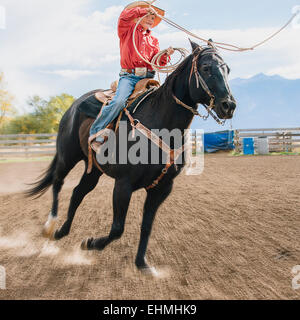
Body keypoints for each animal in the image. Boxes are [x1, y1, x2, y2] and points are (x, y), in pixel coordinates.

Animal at [27, 40, 236, 272]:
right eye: (206, 68)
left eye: (227, 69)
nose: (229, 106)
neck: (161, 124)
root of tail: (73, 106)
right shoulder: (123, 184)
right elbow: (118, 228)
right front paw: (90, 243)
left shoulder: (162, 188)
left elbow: (147, 226)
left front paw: (142, 263)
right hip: (67, 156)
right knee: (58, 182)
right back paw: (50, 224)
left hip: (94, 170)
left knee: (77, 193)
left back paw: (62, 231)